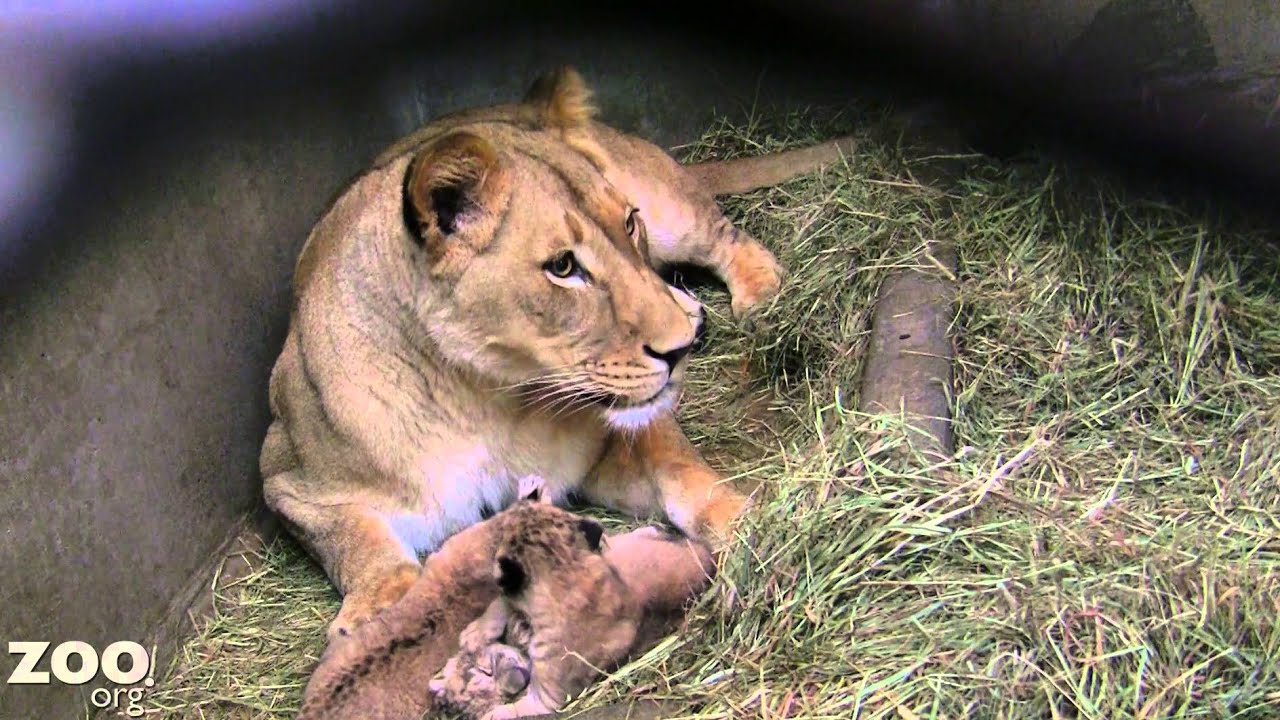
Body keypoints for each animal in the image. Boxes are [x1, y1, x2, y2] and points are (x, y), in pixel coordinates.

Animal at [260, 64, 851, 642]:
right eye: (563, 267)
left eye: (628, 222)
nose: (680, 350)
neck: (484, 398)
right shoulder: (288, 480)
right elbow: (355, 541)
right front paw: (380, 608)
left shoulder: (610, 442)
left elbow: (684, 470)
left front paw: (756, 526)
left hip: (675, 216)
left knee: (727, 235)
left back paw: (759, 297)